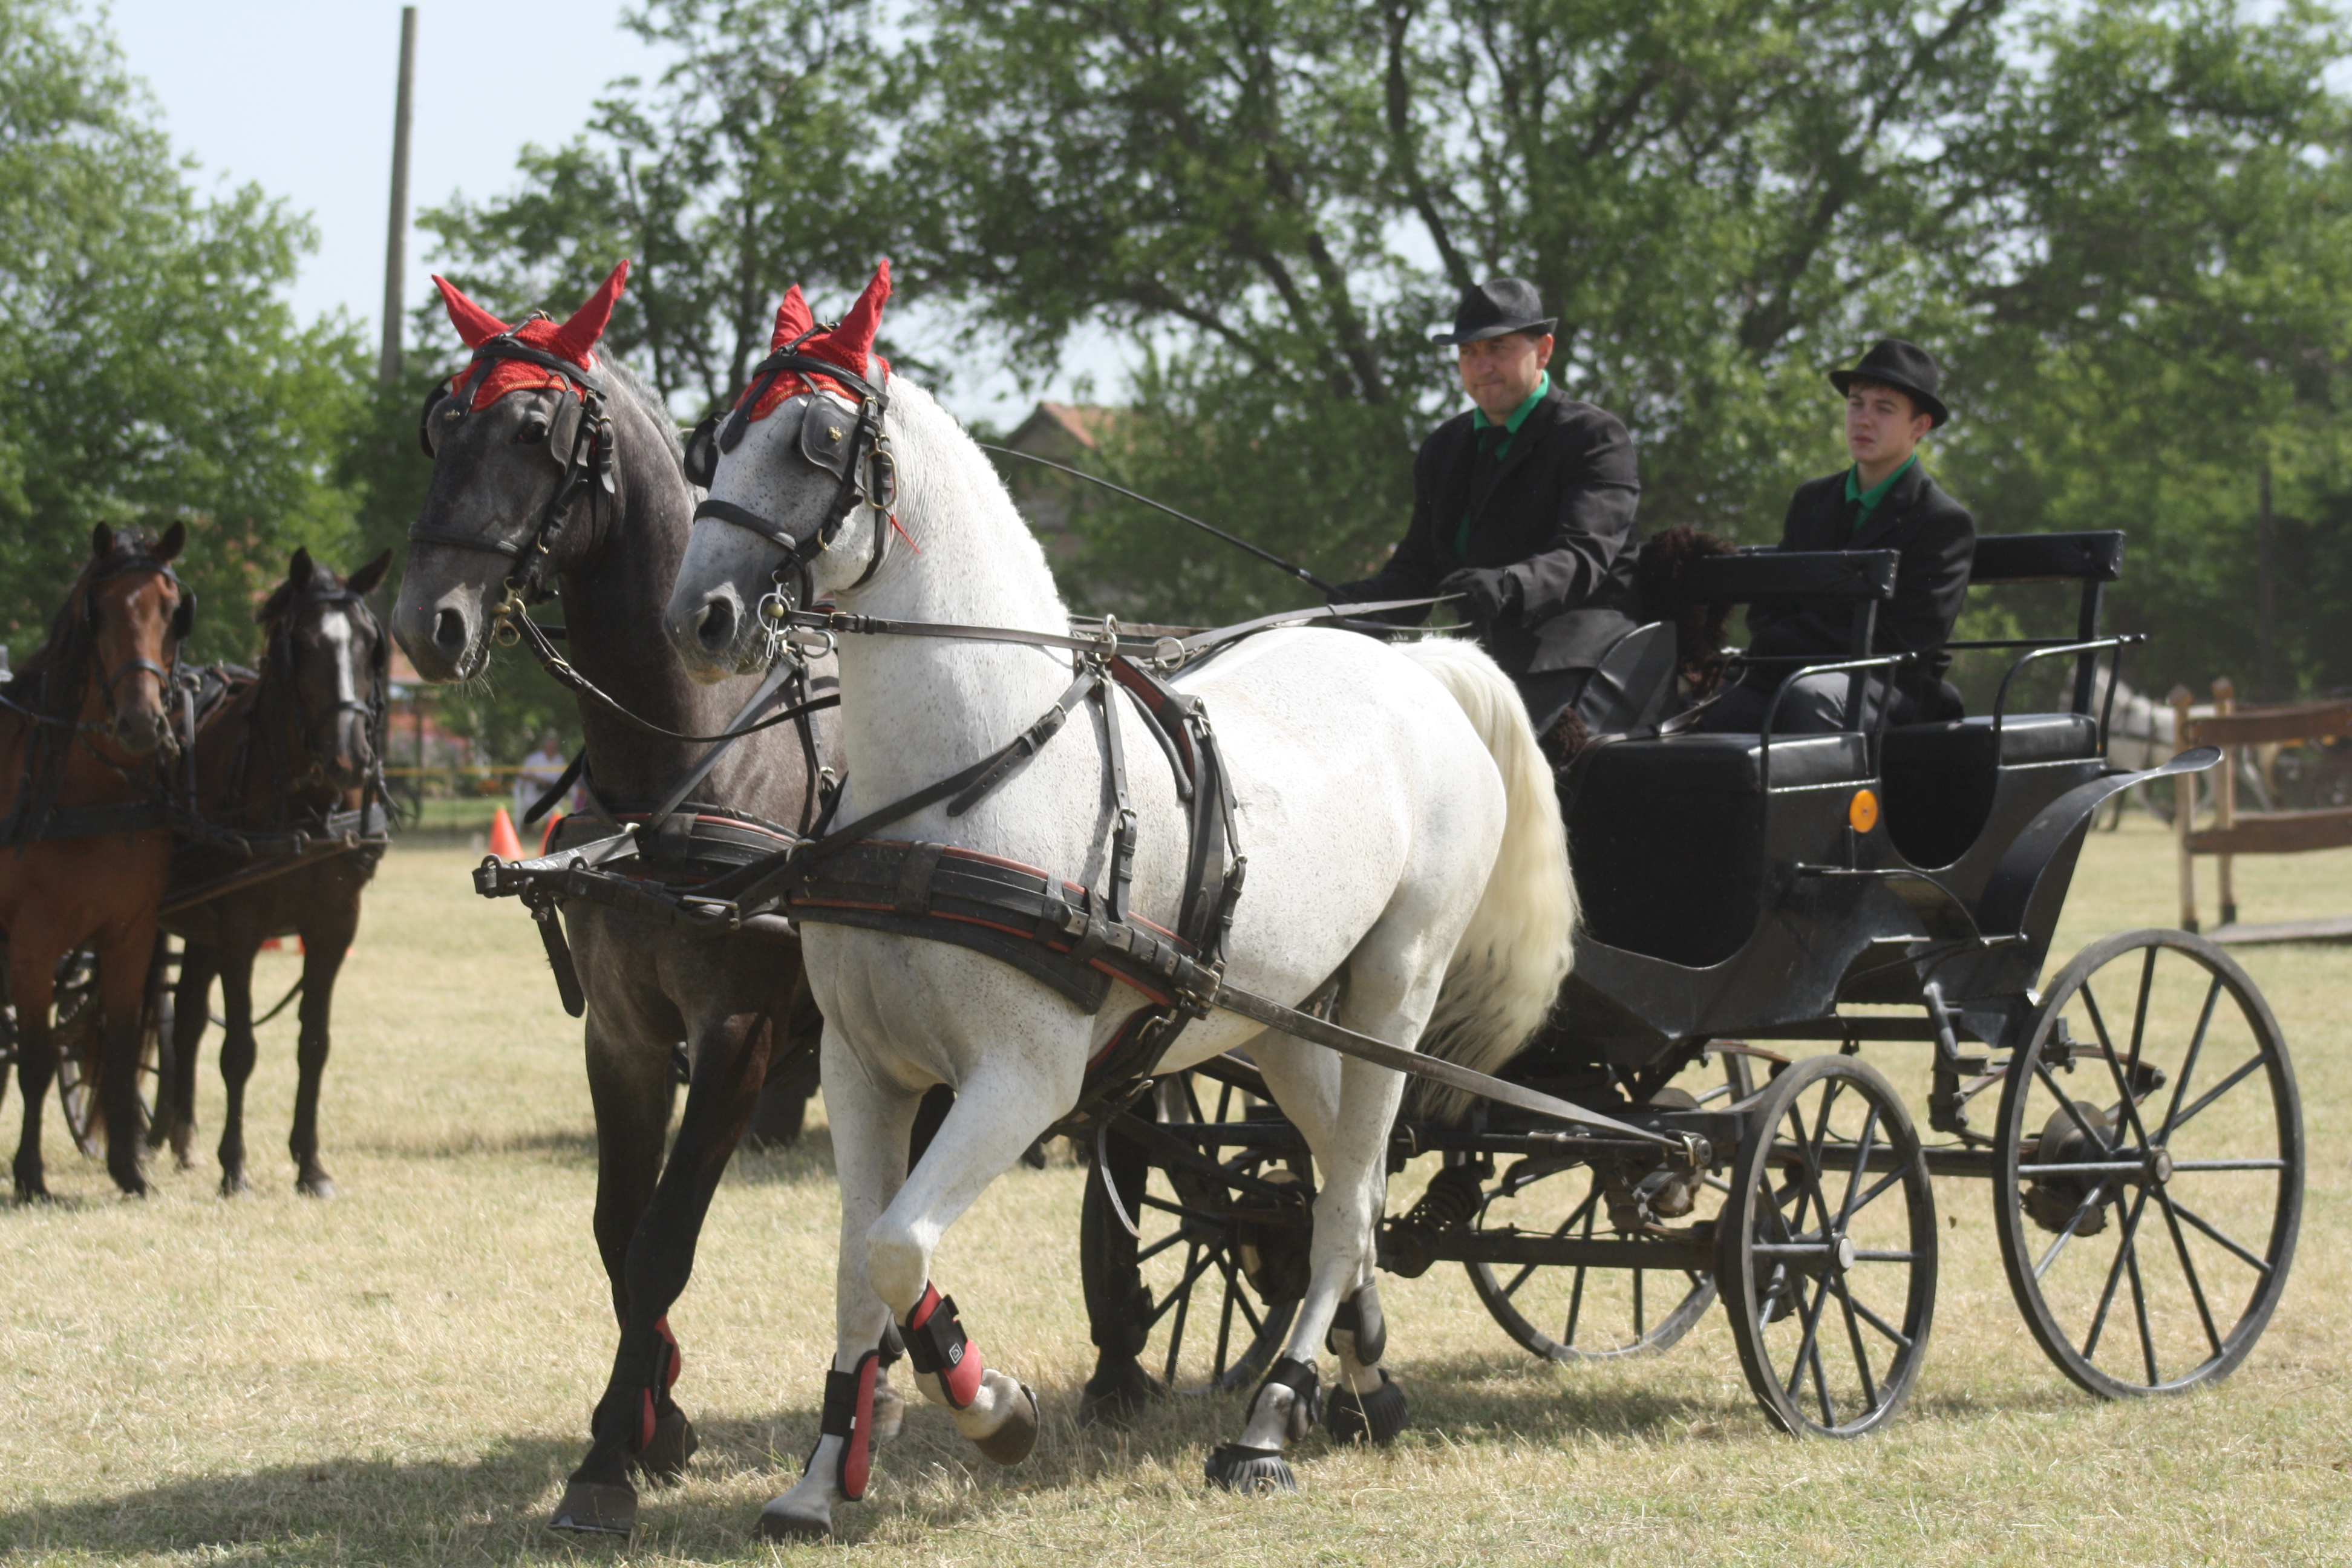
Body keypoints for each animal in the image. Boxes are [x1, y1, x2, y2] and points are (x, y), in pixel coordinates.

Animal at [0, 521, 193, 1198]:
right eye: (100, 611)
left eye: (172, 611)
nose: (140, 723)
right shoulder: (31, 942)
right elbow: (35, 1059)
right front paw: (30, 1177)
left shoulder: (129, 934)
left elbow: (117, 1049)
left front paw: (129, 1170)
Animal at [154, 548, 394, 1197]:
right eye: (304, 646)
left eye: (370, 645)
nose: (349, 758)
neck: (305, 803)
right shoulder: (241, 926)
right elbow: (239, 1048)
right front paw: (234, 1166)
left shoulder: (334, 925)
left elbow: (314, 1043)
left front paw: (310, 1164)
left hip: (201, 929)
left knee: (187, 1017)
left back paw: (180, 1137)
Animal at [390, 261, 852, 1537]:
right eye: (442, 424)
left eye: (532, 432)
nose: (423, 625)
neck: (681, 763)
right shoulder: (623, 1031)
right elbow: (615, 1228)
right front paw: (659, 1414)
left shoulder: (737, 1035)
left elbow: (662, 1242)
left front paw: (605, 1459)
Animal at [661, 263, 1574, 1538]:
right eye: (718, 441)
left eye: (818, 441)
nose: (698, 617)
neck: (965, 779)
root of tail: (1420, 666)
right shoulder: (860, 1066)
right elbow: (854, 1265)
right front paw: (821, 1472)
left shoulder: (1022, 1080)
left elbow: (899, 1248)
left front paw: (992, 1405)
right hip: (1279, 1019)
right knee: (1342, 1183)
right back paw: (1363, 1370)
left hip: (1397, 990)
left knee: (1347, 1198)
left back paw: (1270, 1418)